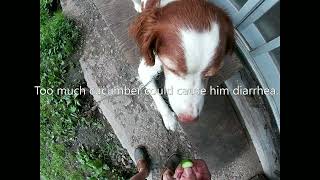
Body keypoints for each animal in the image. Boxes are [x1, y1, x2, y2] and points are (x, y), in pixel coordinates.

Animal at [129, 0, 234, 130]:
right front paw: (169, 117)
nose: (188, 119)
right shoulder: (146, 69)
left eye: (210, 74)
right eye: (172, 69)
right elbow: (157, 96)